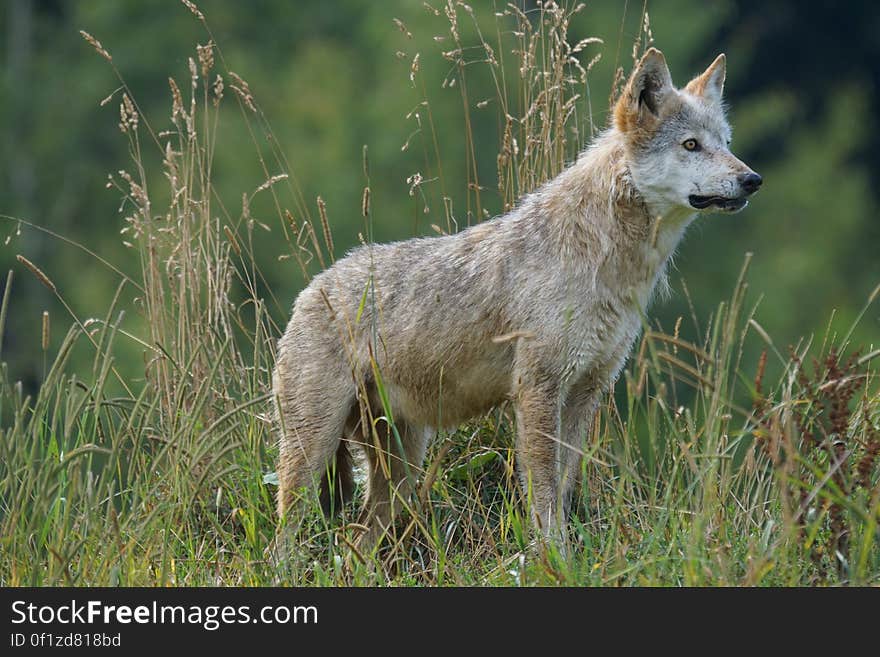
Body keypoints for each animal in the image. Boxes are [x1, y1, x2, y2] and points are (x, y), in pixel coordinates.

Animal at [276, 47, 764, 548]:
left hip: (401, 470)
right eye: (691, 145)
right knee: (283, 538)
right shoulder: (538, 389)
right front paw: (553, 556)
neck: (606, 261)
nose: (753, 179)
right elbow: (544, 494)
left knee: (356, 542)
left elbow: (563, 487)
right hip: (314, 452)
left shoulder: (586, 390)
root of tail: (311, 289)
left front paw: (561, 555)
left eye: (725, 142)